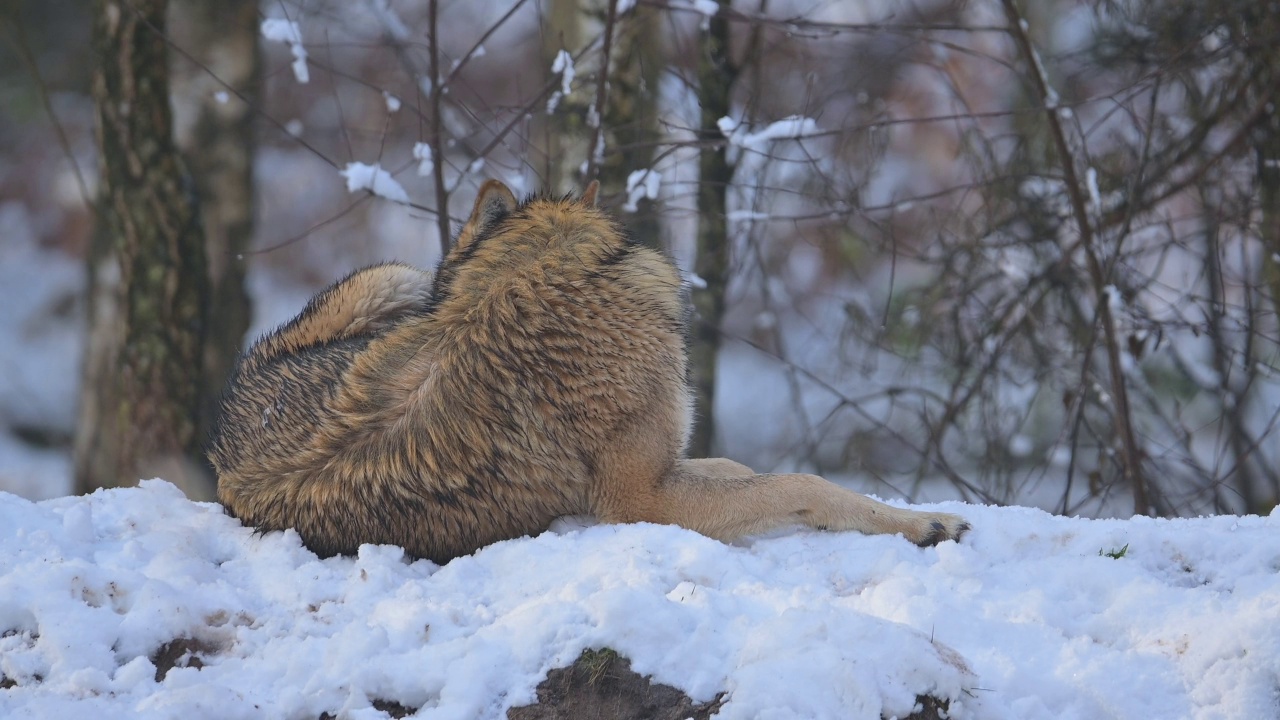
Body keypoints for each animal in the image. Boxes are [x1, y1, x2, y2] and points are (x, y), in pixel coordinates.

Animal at [209, 179, 967, 561]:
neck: (535, 274)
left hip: (396, 281)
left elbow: (744, 470)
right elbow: (803, 484)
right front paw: (927, 524)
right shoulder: (641, 502)